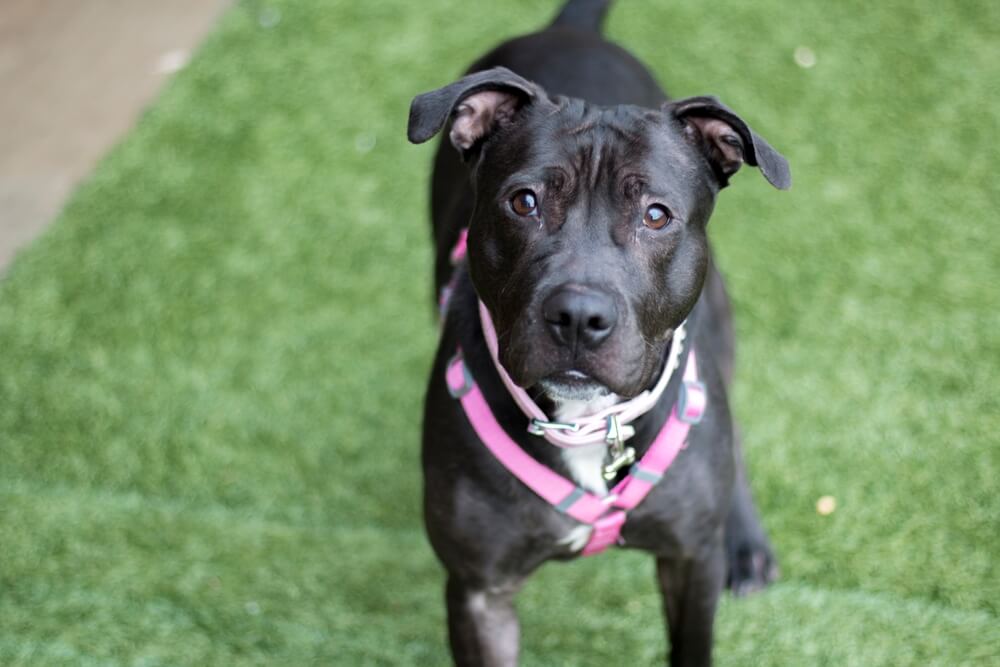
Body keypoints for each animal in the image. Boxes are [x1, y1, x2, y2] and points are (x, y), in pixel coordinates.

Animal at [406, 2, 788, 664]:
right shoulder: (480, 592)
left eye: (656, 215)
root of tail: (571, 29)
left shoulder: (691, 563)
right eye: (524, 202)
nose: (580, 316)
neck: (587, 427)